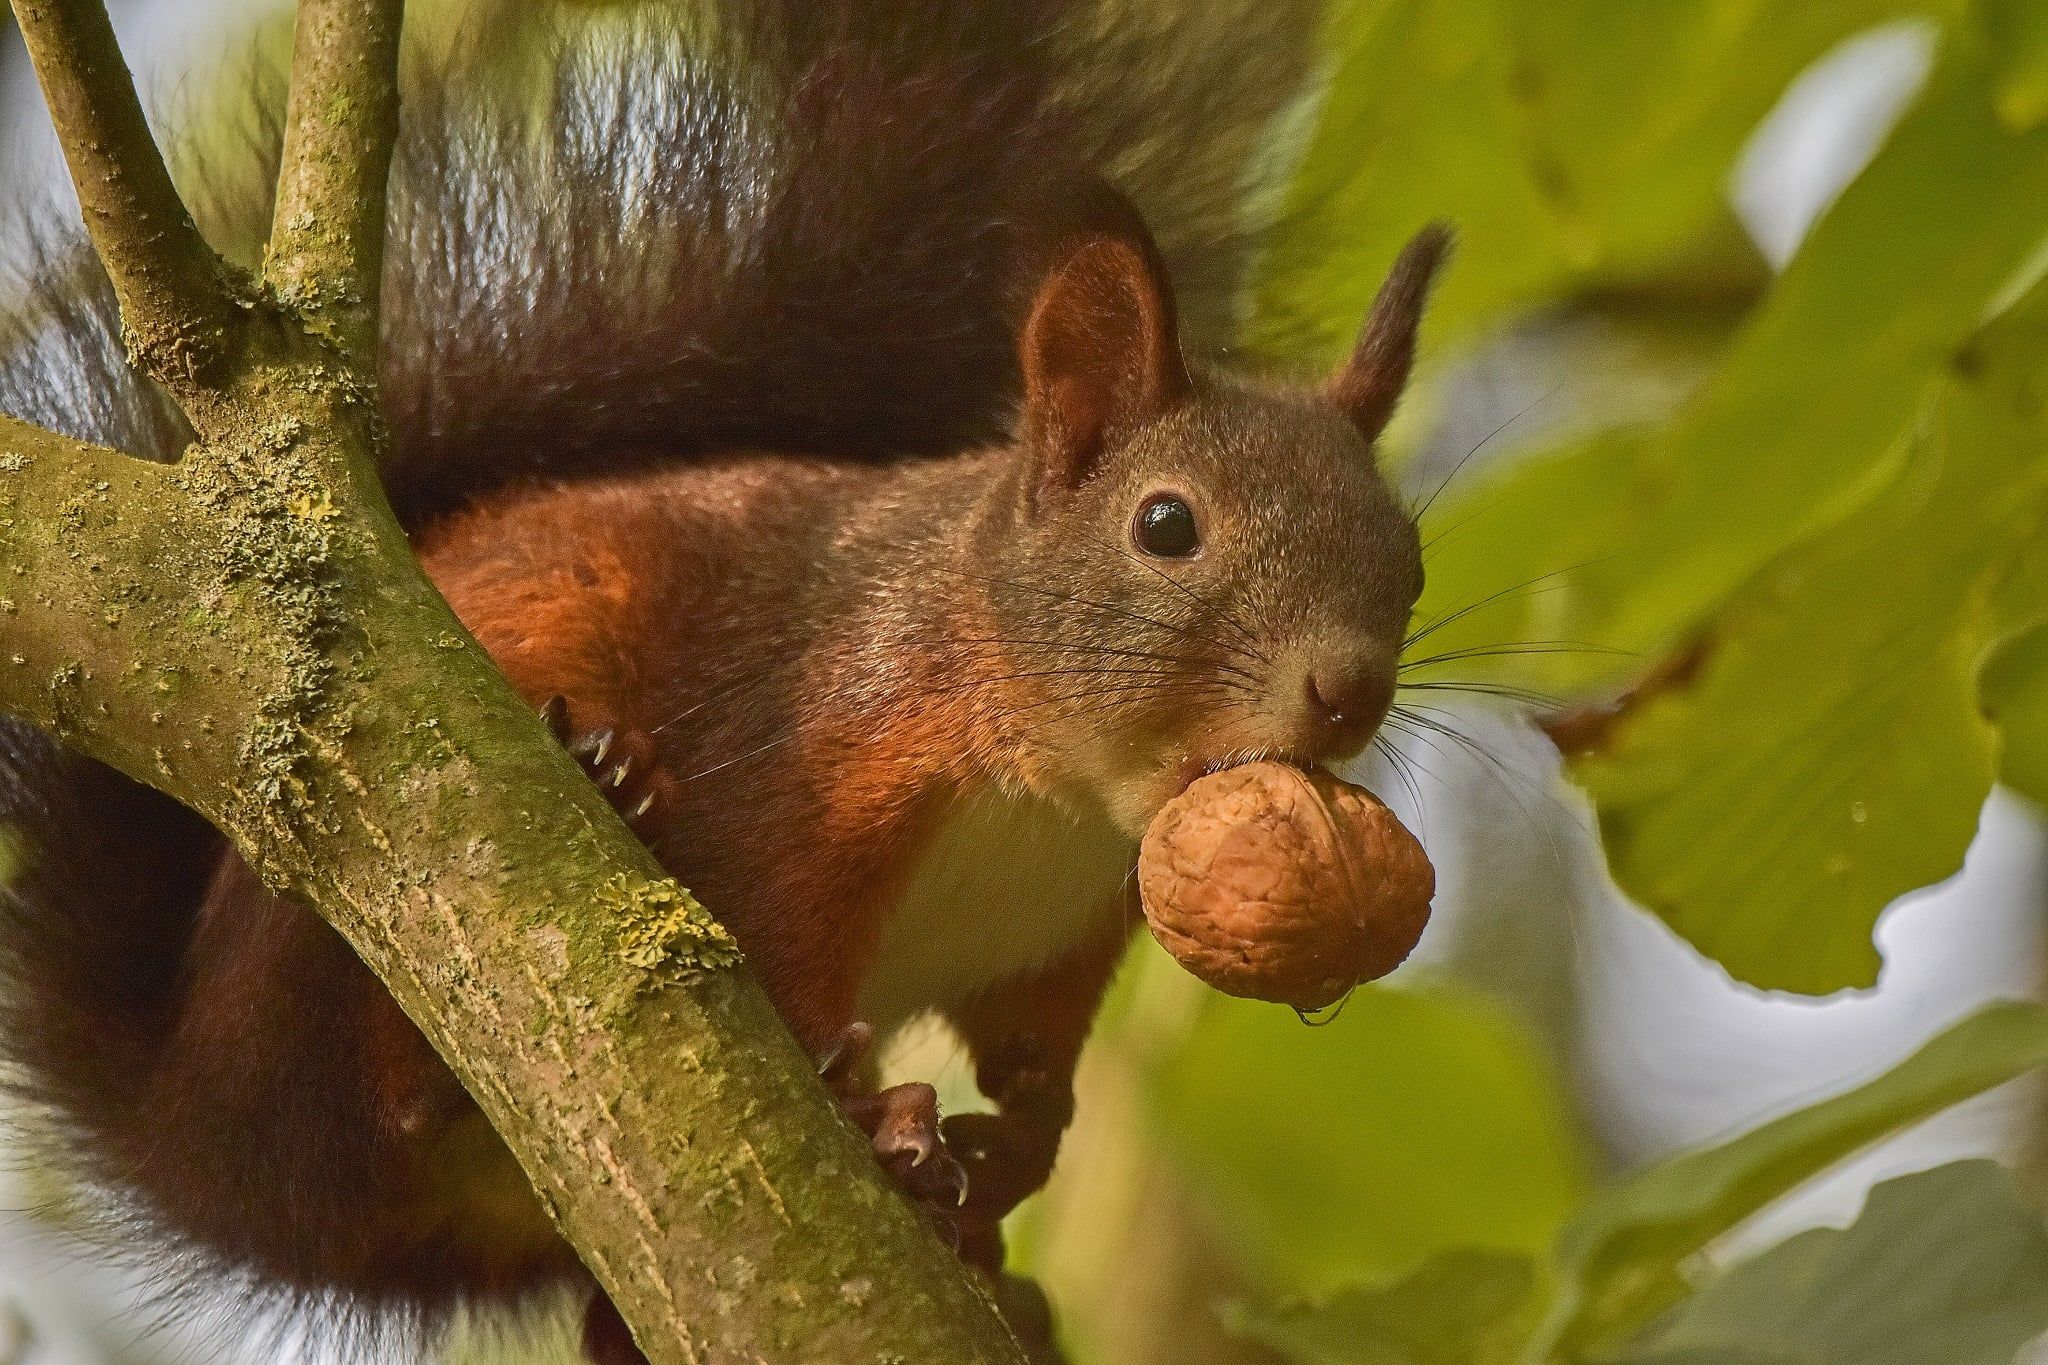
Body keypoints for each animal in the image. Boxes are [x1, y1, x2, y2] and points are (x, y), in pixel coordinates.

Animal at [0, 2, 1449, 1365]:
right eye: (1164, 525)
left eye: (1410, 554)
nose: (1347, 693)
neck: (1061, 800)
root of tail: (192, 1133)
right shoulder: (816, 754)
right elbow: (784, 938)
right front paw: (871, 1110)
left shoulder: (1070, 929)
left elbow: (1034, 1060)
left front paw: (1014, 1151)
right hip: (345, 910)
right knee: (359, 1077)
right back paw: (594, 800)